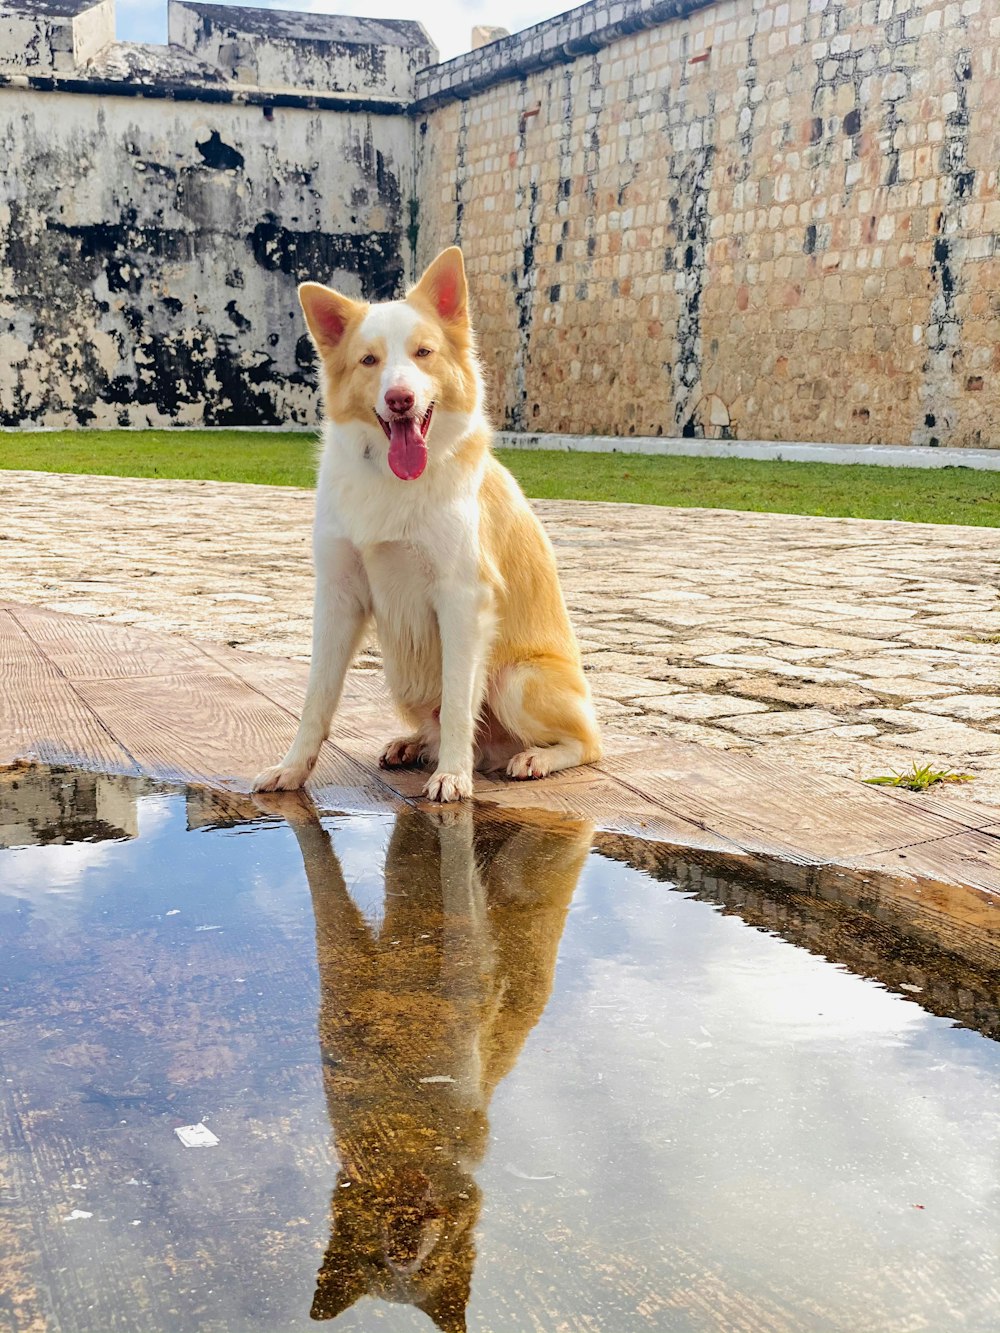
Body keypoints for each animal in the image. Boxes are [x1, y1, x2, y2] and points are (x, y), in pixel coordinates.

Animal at [256, 247, 602, 799]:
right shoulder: (337, 596)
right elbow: (316, 698)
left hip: (516, 680)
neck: (391, 479)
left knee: (588, 742)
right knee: (438, 727)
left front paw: (453, 778)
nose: (400, 399)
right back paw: (415, 745)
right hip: (403, 674)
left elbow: (460, 702)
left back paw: (531, 758)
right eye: (369, 360)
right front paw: (293, 767)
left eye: (424, 353)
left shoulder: (461, 599)